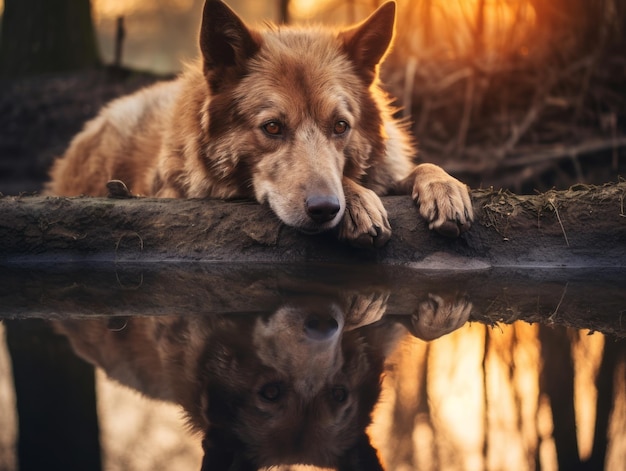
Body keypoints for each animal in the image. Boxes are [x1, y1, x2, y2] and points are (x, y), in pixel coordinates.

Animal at [47, 0, 468, 249]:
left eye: (340, 126)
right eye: (272, 128)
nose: (326, 208)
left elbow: (421, 168)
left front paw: (445, 187)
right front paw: (357, 200)